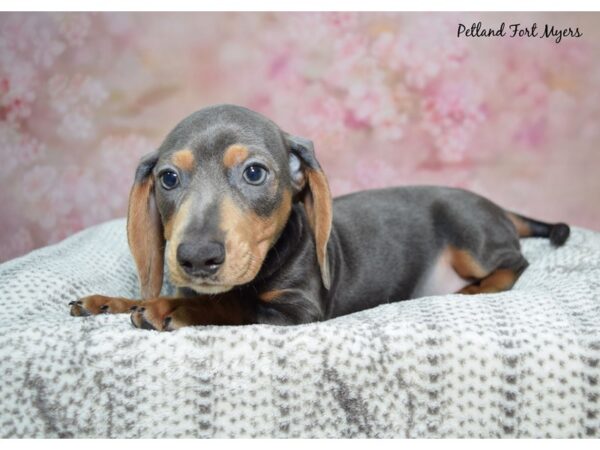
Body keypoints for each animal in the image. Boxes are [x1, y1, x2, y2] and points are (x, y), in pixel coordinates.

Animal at [68, 104, 568, 330]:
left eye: (255, 173)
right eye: (168, 179)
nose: (196, 257)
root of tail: (499, 208)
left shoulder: (299, 310)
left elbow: (234, 305)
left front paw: (174, 307)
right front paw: (111, 301)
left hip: (470, 238)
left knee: (515, 261)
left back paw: (476, 288)